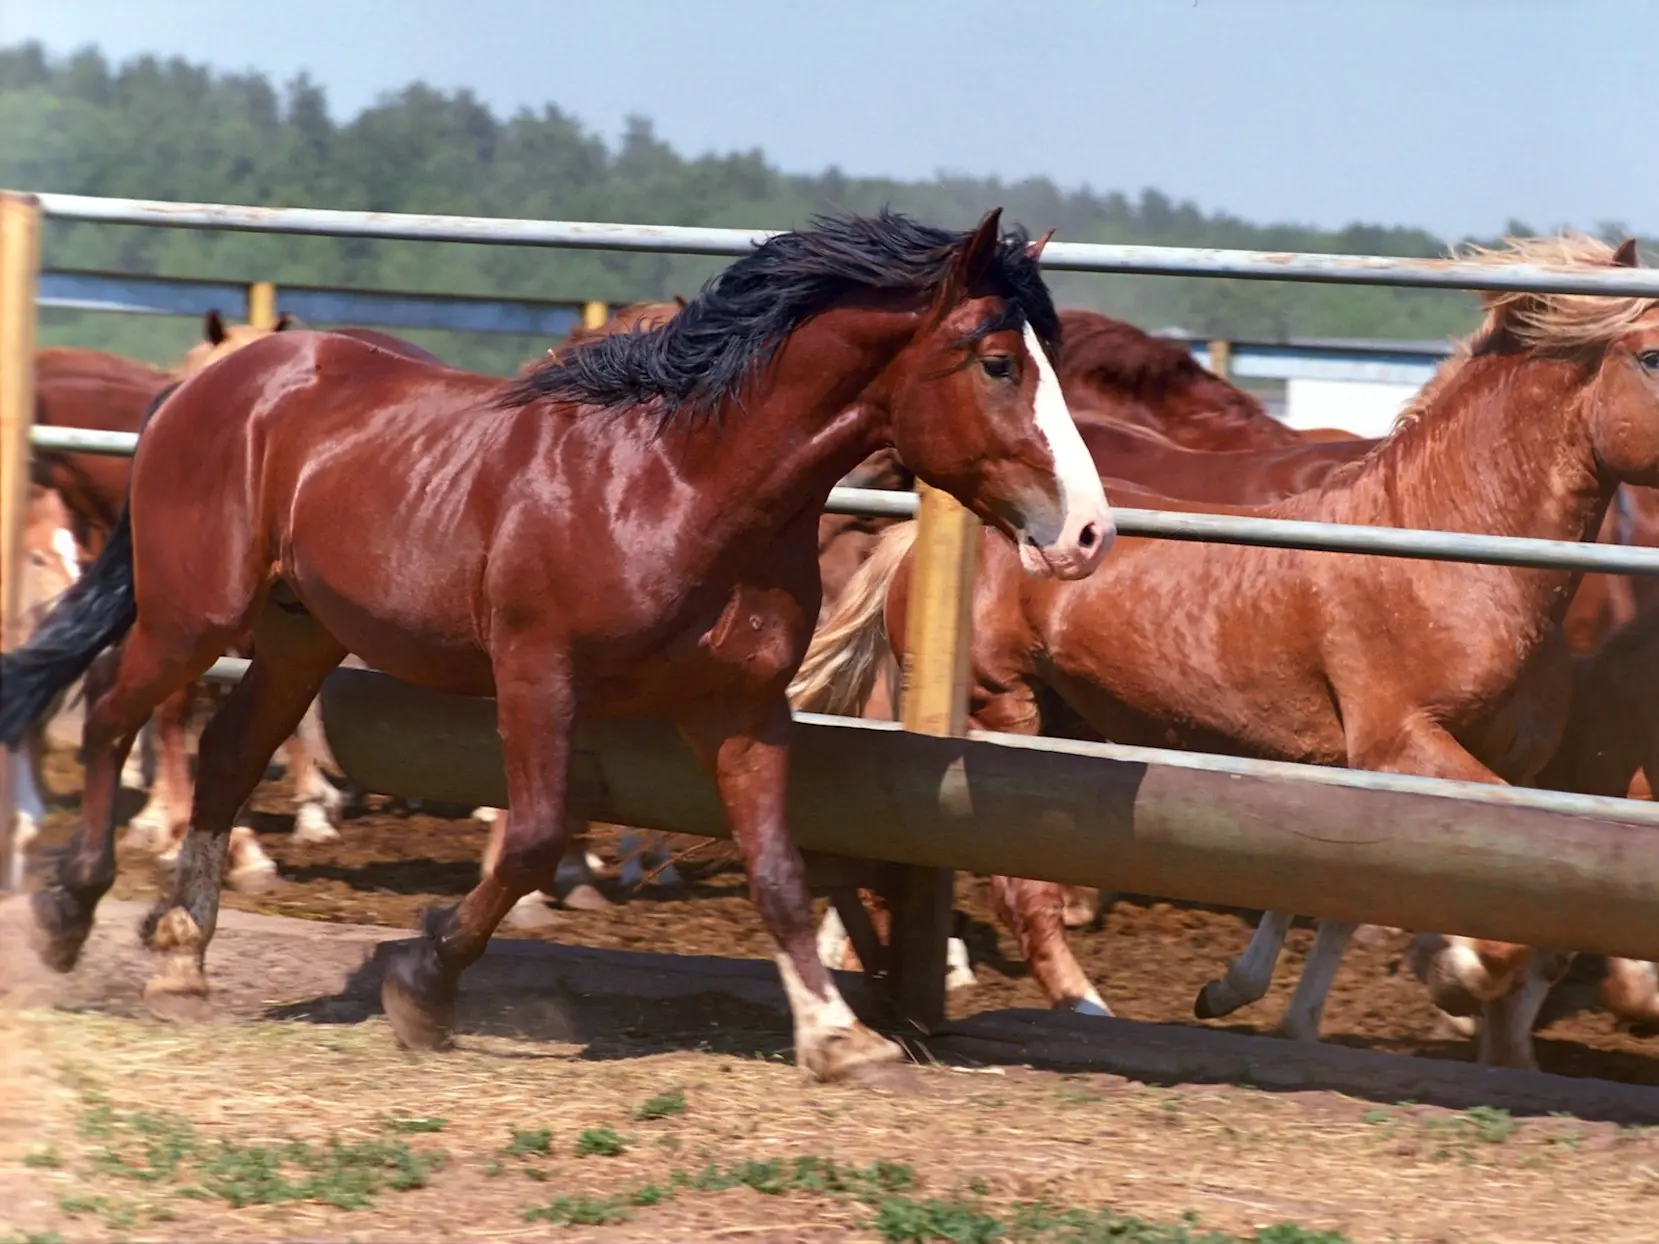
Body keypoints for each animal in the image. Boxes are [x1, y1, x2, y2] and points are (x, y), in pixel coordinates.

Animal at [3, 209, 1114, 1088]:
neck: (679, 487)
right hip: (194, 615)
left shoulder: (743, 707)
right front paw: (423, 984)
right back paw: (67, 908)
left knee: (229, 752)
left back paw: (181, 953)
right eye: (998, 362)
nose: (1089, 533)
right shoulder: (538, 672)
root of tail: (208, 383)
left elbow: (779, 872)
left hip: (295, 634)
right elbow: (534, 835)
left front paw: (841, 1040)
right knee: (110, 712)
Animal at [789, 235, 1659, 1074]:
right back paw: (1076, 1011)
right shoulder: (1400, 744)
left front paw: (1244, 998)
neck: (1443, 551)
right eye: (1649, 357)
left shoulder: (1476, 762)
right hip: (1001, 710)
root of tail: (911, 539)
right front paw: (1448, 978)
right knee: (1012, 889)